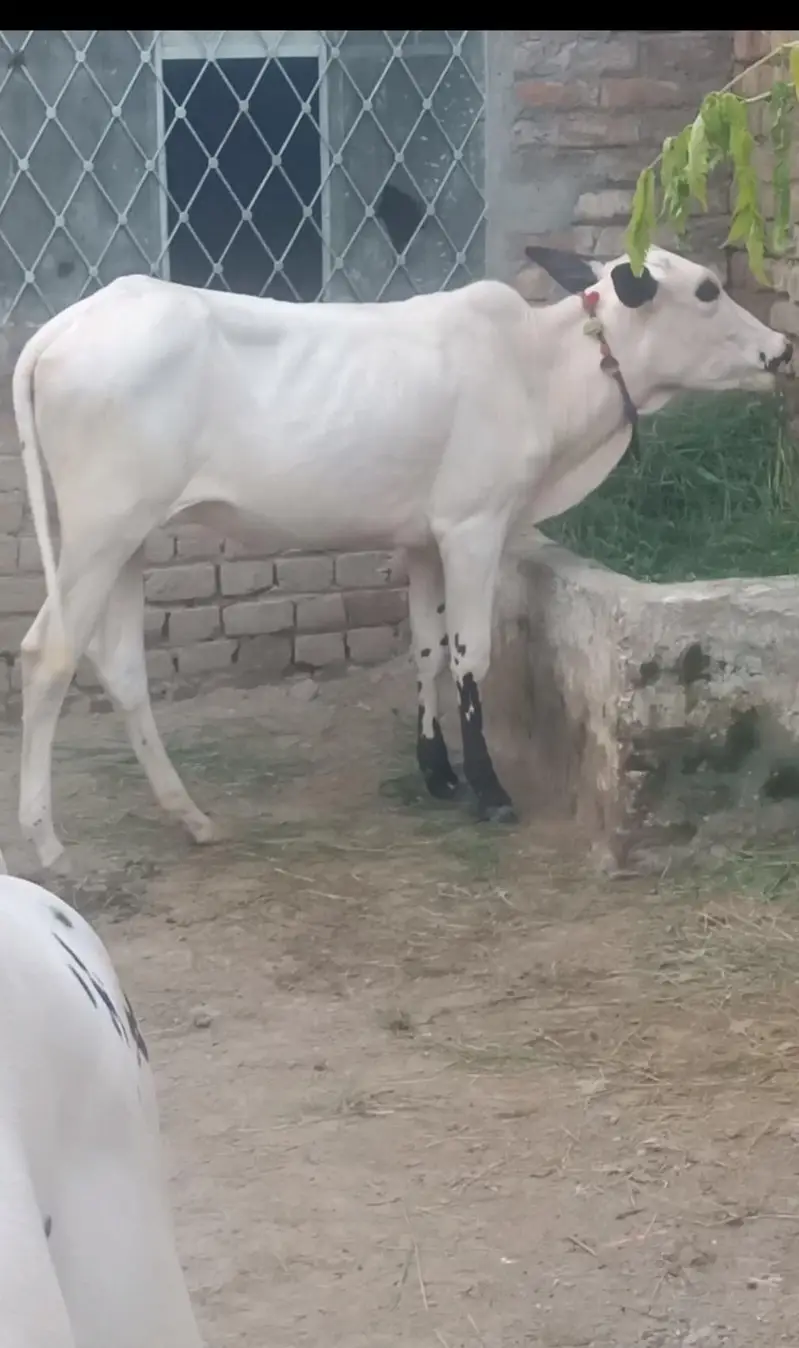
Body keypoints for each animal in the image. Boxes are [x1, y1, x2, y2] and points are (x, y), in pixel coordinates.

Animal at [12, 244, 793, 870]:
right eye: (706, 290)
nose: (780, 351)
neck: (539, 369)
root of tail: (66, 325)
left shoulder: (423, 539)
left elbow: (426, 647)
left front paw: (437, 773)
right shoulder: (474, 526)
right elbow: (470, 653)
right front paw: (488, 790)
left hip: (131, 543)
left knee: (121, 668)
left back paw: (191, 817)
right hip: (97, 534)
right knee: (48, 655)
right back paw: (46, 842)